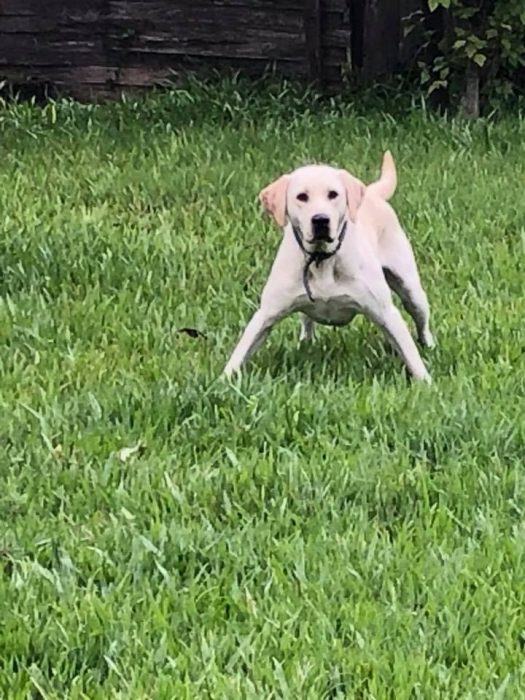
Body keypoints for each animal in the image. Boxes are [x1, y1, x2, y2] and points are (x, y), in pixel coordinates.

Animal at [223, 153, 432, 382]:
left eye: (333, 194)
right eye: (301, 196)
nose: (321, 220)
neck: (321, 259)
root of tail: (371, 193)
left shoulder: (385, 312)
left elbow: (410, 352)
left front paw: (425, 382)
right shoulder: (266, 313)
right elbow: (241, 350)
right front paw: (222, 381)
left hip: (411, 290)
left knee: (421, 320)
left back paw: (429, 344)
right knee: (306, 319)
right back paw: (305, 342)